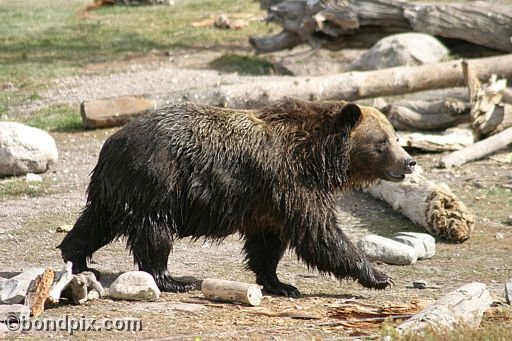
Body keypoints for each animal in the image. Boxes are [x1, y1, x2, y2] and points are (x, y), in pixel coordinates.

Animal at [57, 97, 416, 294]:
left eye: (395, 137)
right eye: (382, 142)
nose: (409, 162)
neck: (318, 158)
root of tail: (111, 143)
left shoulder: (268, 203)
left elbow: (267, 246)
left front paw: (281, 284)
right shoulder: (293, 185)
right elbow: (320, 234)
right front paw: (379, 276)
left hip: (116, 190)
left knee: (95, 223)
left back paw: (78, 260)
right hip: (156, 182)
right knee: (154, 233)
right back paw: (172, 279)